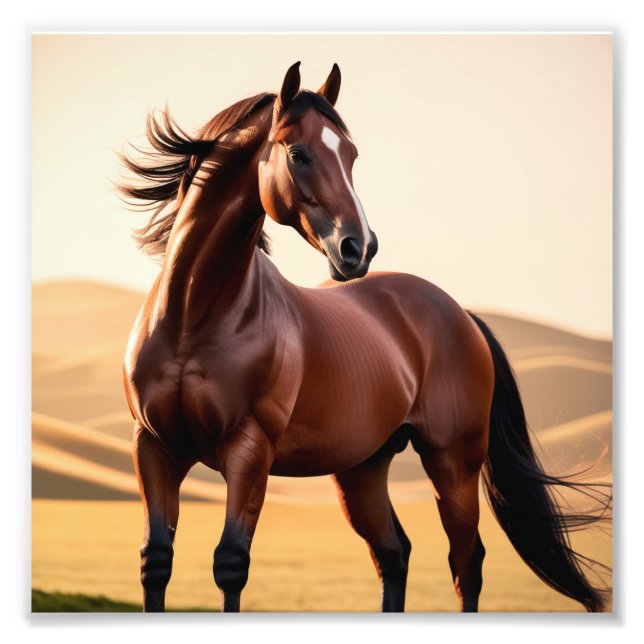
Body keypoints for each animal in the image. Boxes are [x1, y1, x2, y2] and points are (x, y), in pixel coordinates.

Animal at [120, 62, 610, 613]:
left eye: (352, 154)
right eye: (298, 153)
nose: (359, 248)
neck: (193, 317)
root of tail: (461, 314)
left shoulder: (248, 451)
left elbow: (231, 564)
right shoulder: (154, 447)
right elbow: (156, 561)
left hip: (453, 465)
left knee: (466, 562)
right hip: (362, 470)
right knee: (393, 553)